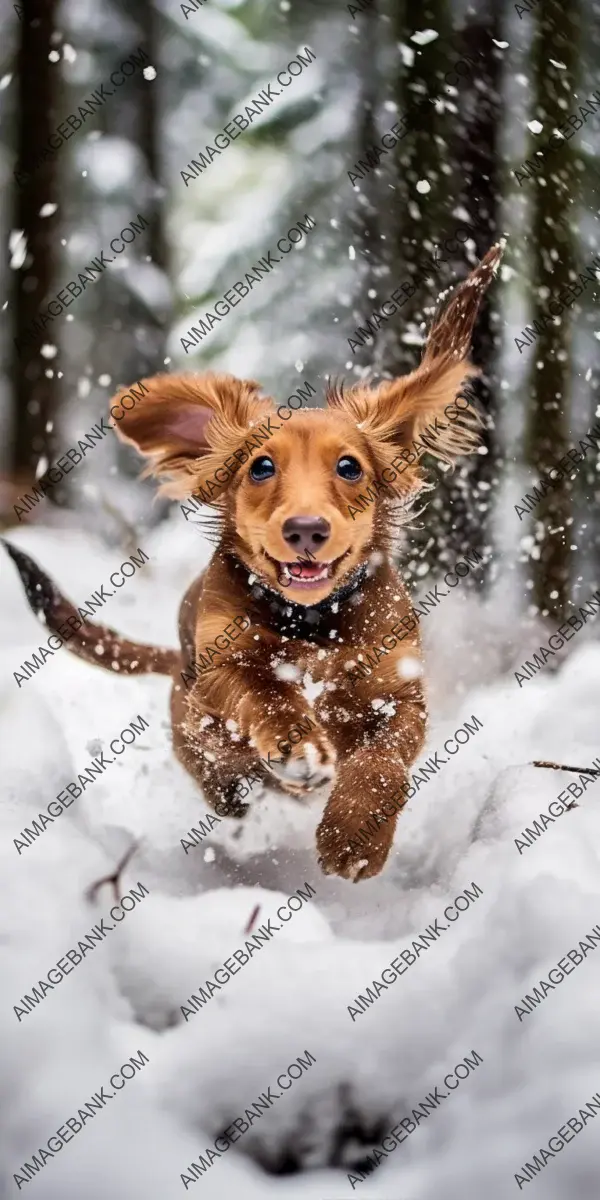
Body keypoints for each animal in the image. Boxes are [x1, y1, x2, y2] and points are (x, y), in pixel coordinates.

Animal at [5, 246, 501, 883]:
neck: (313, 625)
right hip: (196, 727)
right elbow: (267, 693)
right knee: (225, 777)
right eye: (261, 467)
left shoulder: (402, 693)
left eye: (349, 466)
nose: (306, 530)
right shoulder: (224, 665)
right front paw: (298, 747)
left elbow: (385, 761)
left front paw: (355, 836)